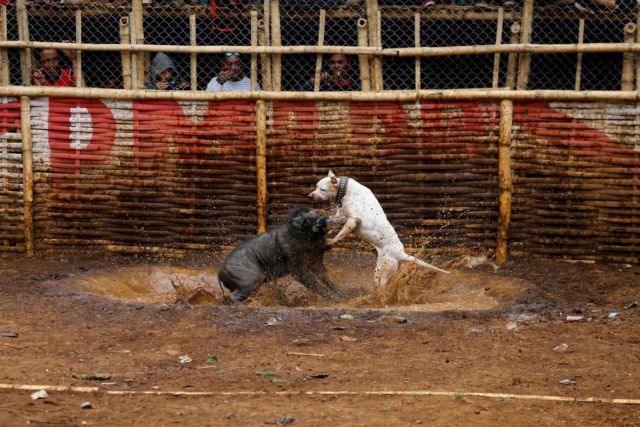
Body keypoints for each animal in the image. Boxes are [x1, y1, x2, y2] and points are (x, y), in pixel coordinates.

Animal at [308, 171, 448, 288]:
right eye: (316, 186)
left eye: (323, 189)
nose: (310, 196)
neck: (347, 190)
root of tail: (401, 253)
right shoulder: (343, 216)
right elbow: (331, 220)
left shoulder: (353, 220)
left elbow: (340, 235)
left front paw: (329, 243)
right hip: (379, 270)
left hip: (385, 271)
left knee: (383, 288)